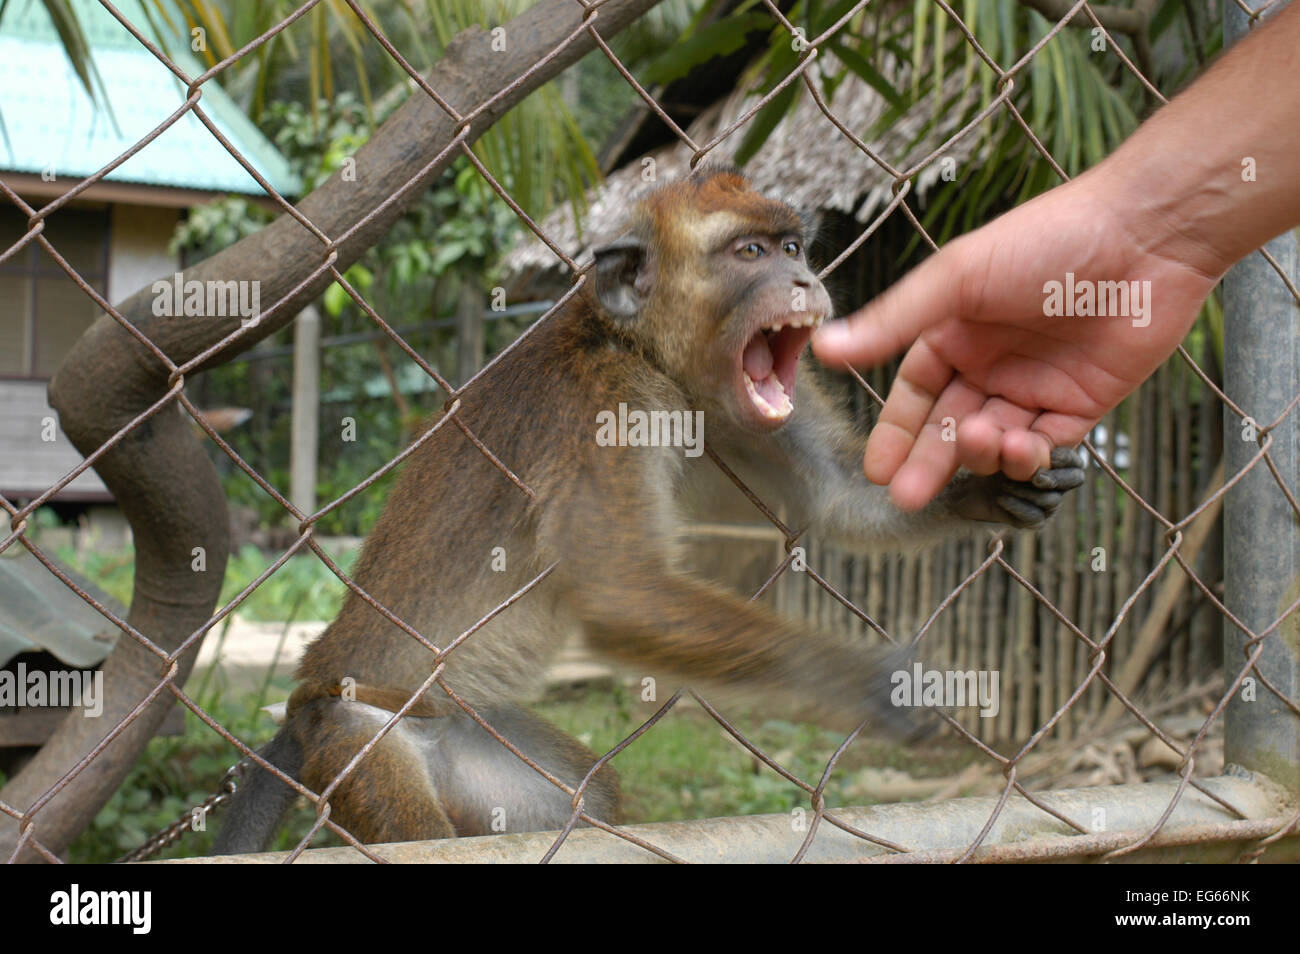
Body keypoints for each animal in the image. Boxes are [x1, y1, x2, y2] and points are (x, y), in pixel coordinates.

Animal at [211, 167, 1085, 854]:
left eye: (793, 248)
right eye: (749, 254)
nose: (805, 283)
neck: (637, 348)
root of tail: (309, 698)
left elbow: (843, 496)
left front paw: (987, 487)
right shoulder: (603, 409)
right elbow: (621, 589)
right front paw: (876, 683)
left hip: (471, 744)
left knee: (579, 801)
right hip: (357, 741)